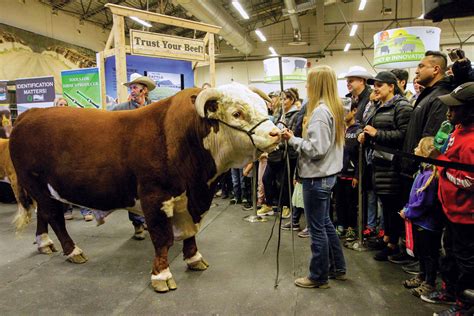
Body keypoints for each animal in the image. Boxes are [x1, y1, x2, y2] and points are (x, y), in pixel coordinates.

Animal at [10, 82, 282, 292]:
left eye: (263, 107)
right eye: (237, 113)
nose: (277, 134)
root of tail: (28, 114)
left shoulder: (192, 201)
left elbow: (191, 233)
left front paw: (194, 258)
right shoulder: (155, 197)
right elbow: (162, 238)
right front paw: (161, 276)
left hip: (42, 190)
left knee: (44, 215)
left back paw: (44, 243)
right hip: (36, 184)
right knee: (54, 217)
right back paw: (72, 251)